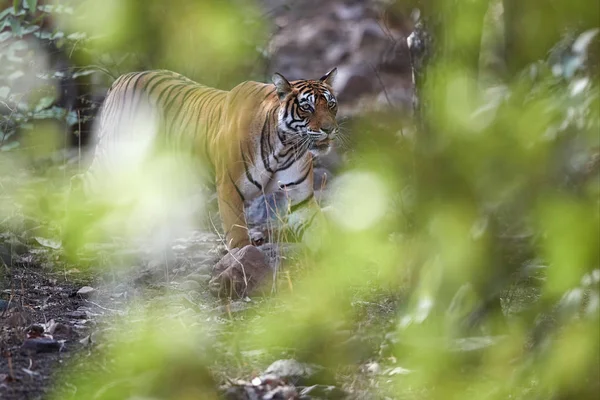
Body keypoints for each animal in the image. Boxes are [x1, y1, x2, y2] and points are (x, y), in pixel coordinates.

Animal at [74, 69, 338, 250]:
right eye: (306, 108)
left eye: (332, 105)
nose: (329, 129)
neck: (286, 146)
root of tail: (122, 77)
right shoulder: (229, 188)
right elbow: (238, 234)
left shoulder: (302, 196)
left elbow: (319, 230)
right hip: (113, 162)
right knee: (78, 185)